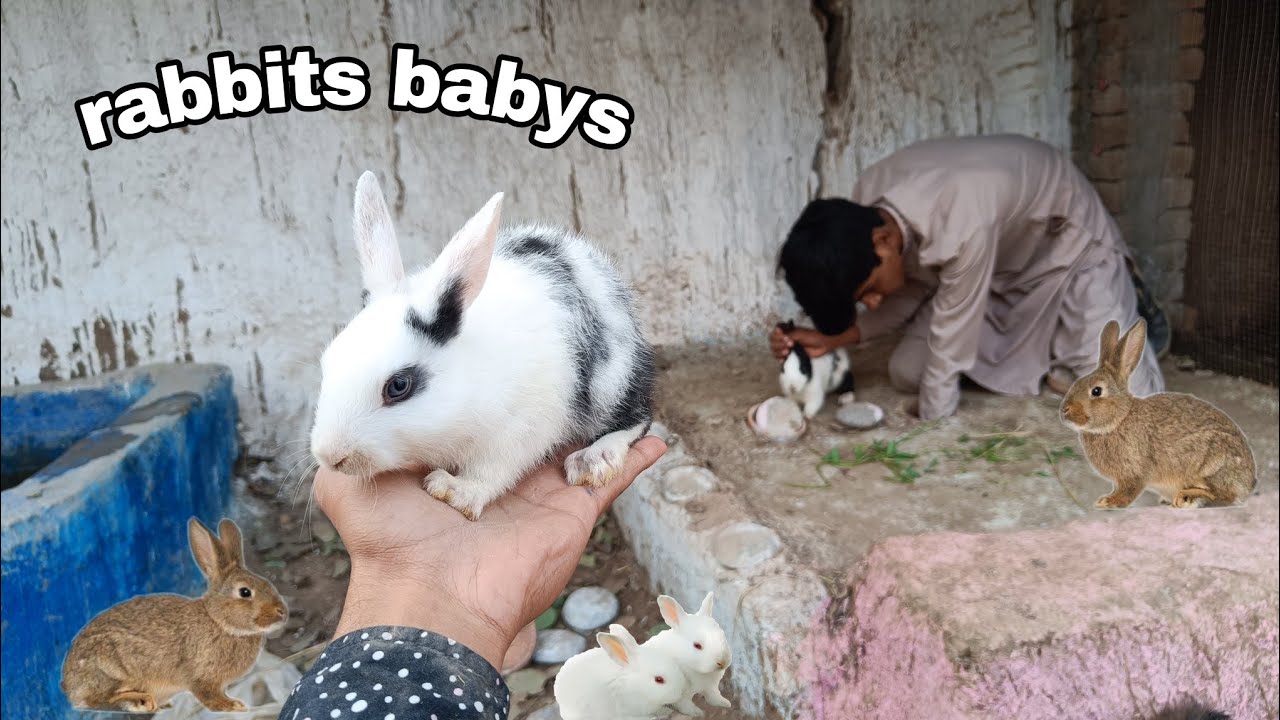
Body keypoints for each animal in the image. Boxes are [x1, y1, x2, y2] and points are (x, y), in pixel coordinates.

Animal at [61, 518, 288, 713]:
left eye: (267, 583)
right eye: (245, 592)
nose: (282, 613)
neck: (219, 621)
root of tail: (67, 684)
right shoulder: (201, 677)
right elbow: (209, 696)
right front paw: (232, 705)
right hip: (110, 669)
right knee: (93, 701)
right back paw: (139, 702)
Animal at [310, 171, 655, 520]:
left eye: (399, 386)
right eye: (327, 362)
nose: (331, 456)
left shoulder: (519, 430)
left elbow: (491, 473)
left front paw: (454, 492)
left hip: (613, 380)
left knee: (637, 416)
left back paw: (594, 459)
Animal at [1060, 318, 1257, 509]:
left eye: (1096, 391)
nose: (1064, 411)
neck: (1119, 419)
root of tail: (1248, 484)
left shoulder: (1134, 473)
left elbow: (1129, 491)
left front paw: (1109, 501)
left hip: (1212, 465)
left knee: (1224, 497)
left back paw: (1188, 498)